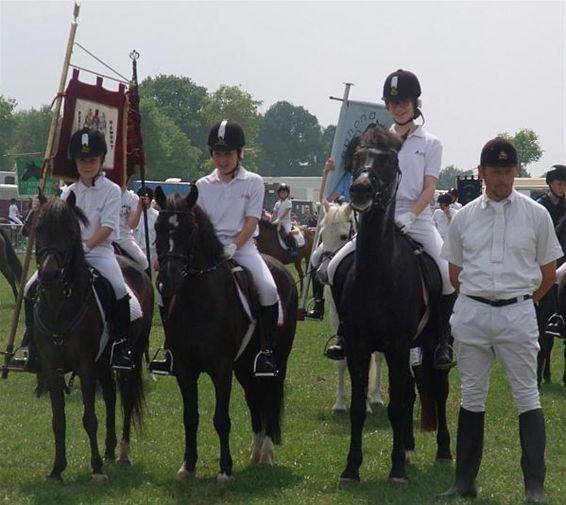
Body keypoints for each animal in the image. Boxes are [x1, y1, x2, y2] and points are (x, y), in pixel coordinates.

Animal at [28, 194, 153, 480]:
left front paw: (95, 467)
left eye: (71, 231)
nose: (49, 275)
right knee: (110, 397)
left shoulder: (85, 365)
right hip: (103, 363)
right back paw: (109, 449)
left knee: (126, 398)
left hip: (131, 358)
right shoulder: (52, 367)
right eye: (38, 228)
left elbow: (89, 417)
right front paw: (57, 468)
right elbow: (58, 419)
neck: (59, 305)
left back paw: (122, 453)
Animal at [153, 186, 300, 480]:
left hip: (279, 359)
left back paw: (266, 454)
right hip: (243, 365)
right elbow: (190, 417)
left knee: (270, 398)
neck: (198, 300)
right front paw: (188, 466)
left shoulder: (221, 368)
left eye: (190, 230)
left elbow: (221, 419)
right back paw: (255, 453)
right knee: (254, 399)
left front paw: (225, 469)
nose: (168, 281)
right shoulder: (184, 368)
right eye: (157, 227)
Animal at [332, 124, 452, 482]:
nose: (359, 189)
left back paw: (443, 452)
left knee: (439, 391)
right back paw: (410, 449)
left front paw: (396, 468)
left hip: (433, 344)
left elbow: (398, 406)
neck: (377, 271)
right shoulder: (357, 346)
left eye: (389, 161)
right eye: (358, 156)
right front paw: (351, 468)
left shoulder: (397, 345)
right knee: (412, 391)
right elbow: (359, 407)